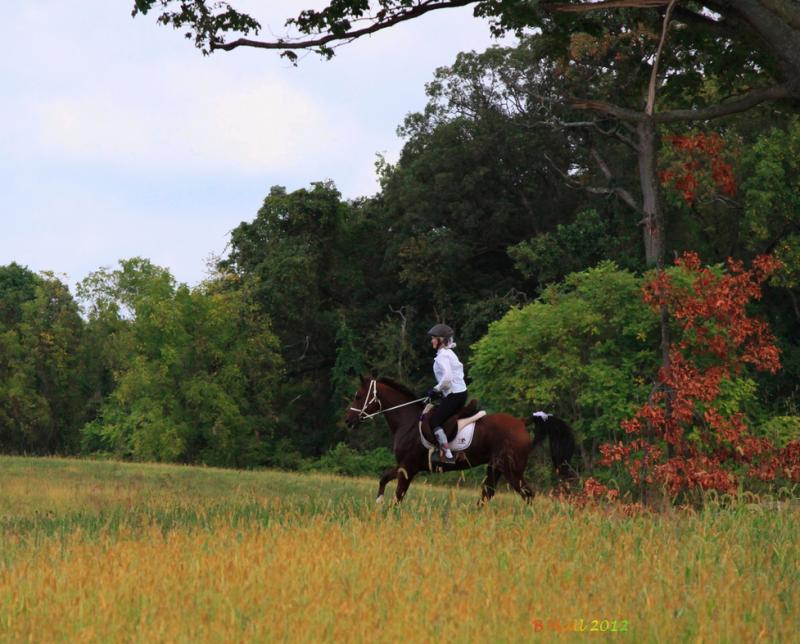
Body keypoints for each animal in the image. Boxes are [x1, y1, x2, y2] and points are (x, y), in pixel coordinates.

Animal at [346, 374, 576, 506]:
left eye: (358, 396)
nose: (348, 421)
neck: (408, 421)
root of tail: (522, 421)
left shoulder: (408, 467)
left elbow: (398, 496)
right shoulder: (406, 465)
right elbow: (383, 478)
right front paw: (378, 502)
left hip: (512, 470)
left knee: (527, 494)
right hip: (496, 467)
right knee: (487, 495)